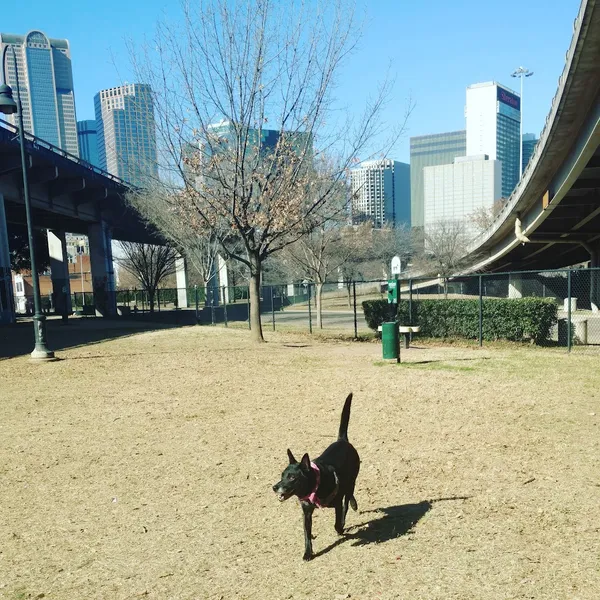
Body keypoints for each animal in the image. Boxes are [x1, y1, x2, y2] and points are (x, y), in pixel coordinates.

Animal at [274, 392, 360, 560]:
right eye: (282, 475)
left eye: (292, 477)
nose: (275, 487)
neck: (313, 487)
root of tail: (342, 440)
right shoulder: (306, 512)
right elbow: (307, 534)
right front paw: (308, 553)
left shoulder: (337, 503)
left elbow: (338, 521)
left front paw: (341, 529)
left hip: (352, 479)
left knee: (348, 498)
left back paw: (351, 507)